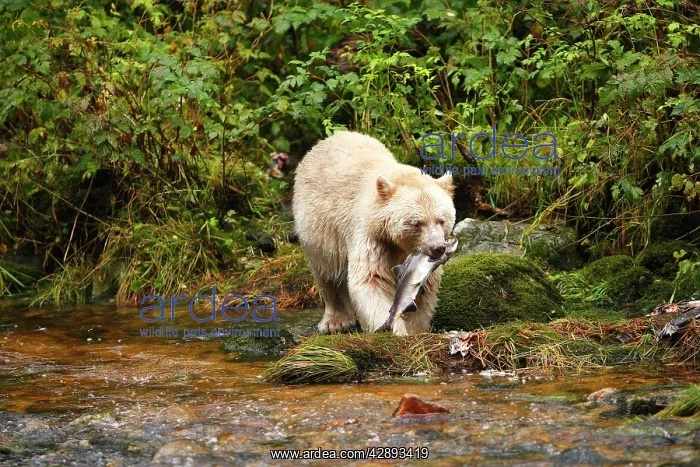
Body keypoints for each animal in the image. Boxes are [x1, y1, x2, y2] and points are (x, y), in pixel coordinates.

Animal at [293, 131, 456, 335]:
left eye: (441, 220)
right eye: (417, 223)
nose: (437, 248)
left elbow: (423, 290)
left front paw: (414, 329)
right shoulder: (370, 236)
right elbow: (371, 280)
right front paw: (394, 330)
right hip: (318, 231)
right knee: (327, 273)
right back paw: (336, 321)